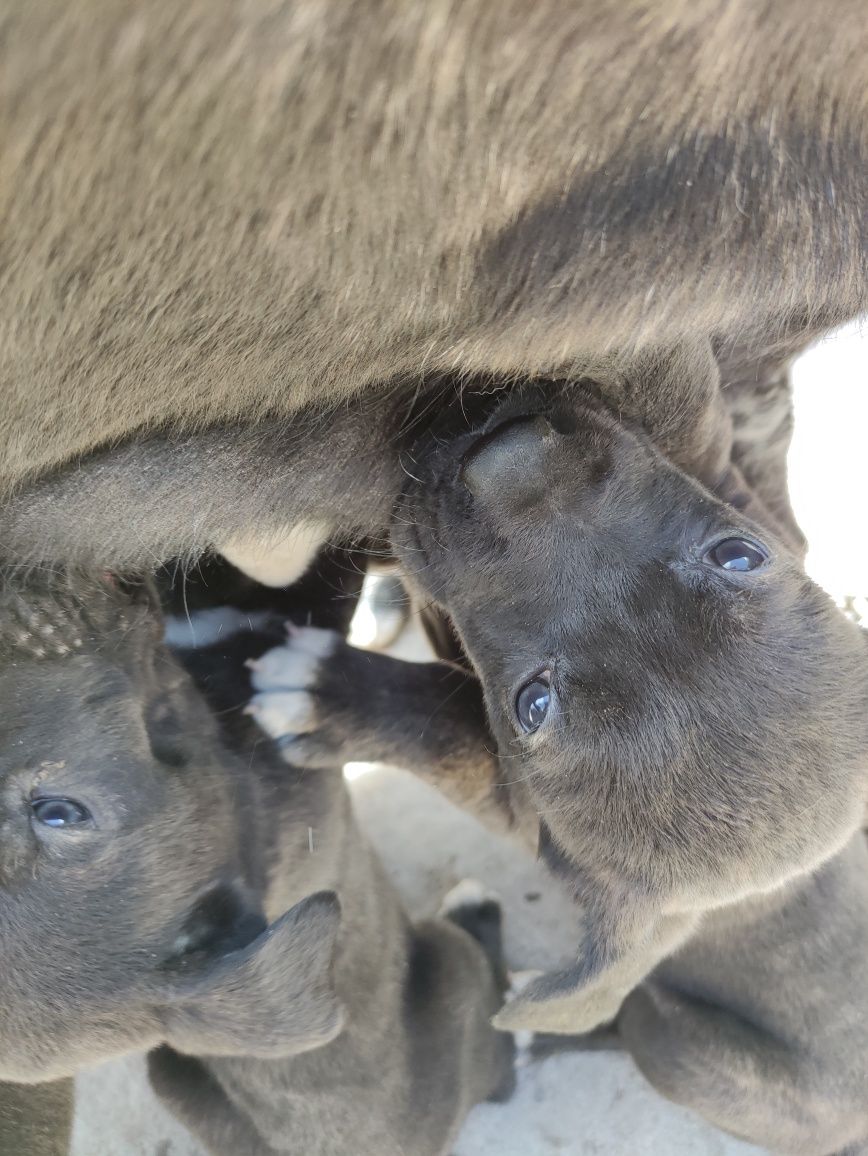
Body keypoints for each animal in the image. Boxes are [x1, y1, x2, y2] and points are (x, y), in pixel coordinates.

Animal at [246, 383, 868, 1151]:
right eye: (738, 555)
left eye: (530, 706)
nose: (505, 455)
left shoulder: (512, 805)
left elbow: (446, 729)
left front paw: (324, 692)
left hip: (683, 1049)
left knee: (623, 1023)